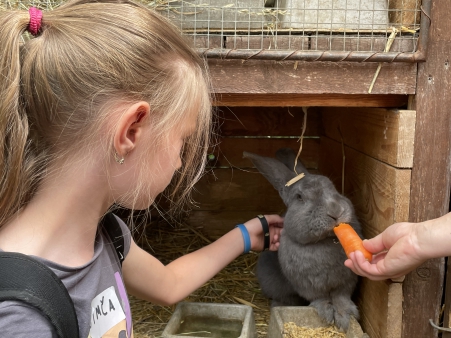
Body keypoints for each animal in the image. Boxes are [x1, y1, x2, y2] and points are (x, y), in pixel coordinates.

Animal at [244, 148, 364, 330]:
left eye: (334, 188)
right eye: (300, 197)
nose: (335, 211)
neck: (323, 240)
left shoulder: (346, 281)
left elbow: (341, 297)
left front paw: (345, 318)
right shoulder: (308, 285)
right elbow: (320, 298)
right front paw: (327, 315)